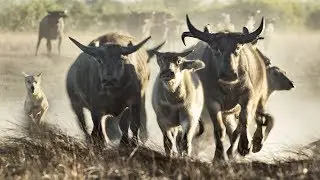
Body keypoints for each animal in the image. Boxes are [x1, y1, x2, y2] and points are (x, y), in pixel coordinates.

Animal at [182, 14, 268, 160]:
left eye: (237, 48)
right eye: (215, 48)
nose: (229, 74)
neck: (228, 88)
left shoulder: (248, 95)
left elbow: (245, 120)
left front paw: (245, 145)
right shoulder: (212, 102)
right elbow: (219, 129)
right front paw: (219, 156)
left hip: (261, 96)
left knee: (257, 117)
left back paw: (255, 143)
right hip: (226, 113)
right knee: (231, 129)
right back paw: (230, 152)